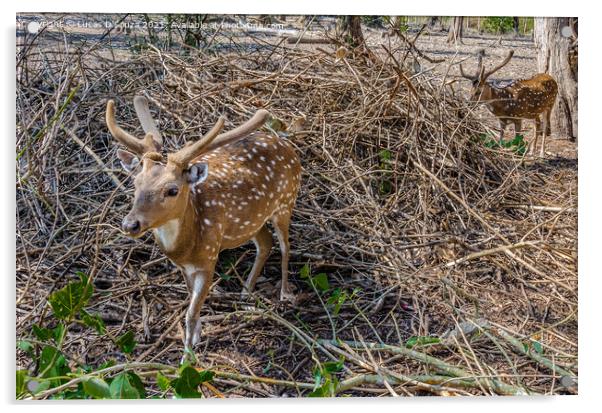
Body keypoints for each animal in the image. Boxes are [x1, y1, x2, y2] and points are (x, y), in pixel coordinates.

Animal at [105, 96, 300, 360]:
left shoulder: (209, 259)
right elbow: (191, 302)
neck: (187, 245)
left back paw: (285, 294)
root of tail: (287, 146)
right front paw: (195, 336)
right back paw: (245, 294)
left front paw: (187, 357)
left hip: (285, 203)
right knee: (265, 243)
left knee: (285, 246)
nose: (130, 224)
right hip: (251, 222)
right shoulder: (184, 267)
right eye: (135, 182)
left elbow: (190, 312)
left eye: (172, 190)